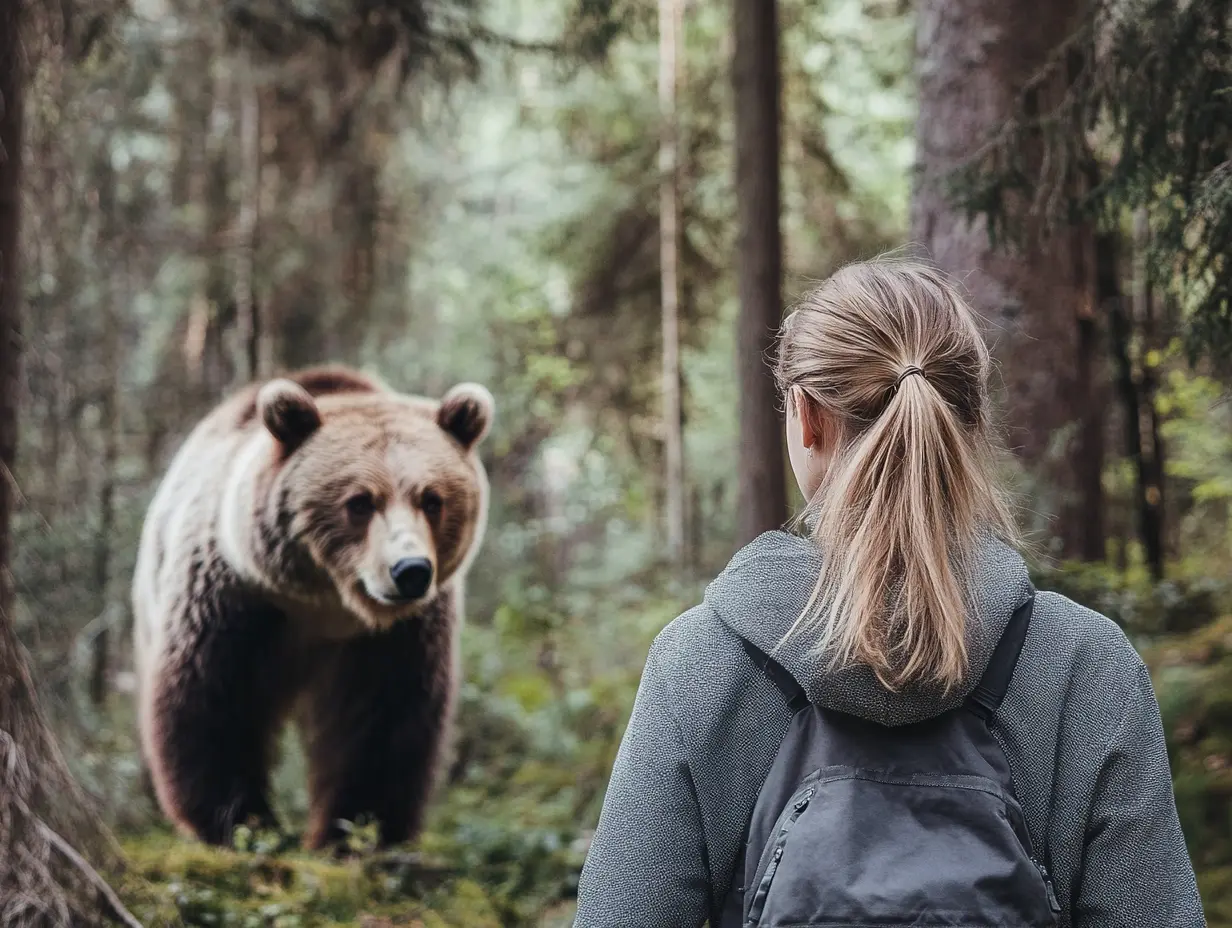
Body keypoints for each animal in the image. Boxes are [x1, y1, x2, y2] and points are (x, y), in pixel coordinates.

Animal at [131, 365, 493, 850]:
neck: (327, 602)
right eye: (360, 501)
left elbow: (384, 721)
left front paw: (358, 830)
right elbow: (211, 702)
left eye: (432, 499)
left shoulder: (398, 634)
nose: (410, 570)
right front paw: (241, 821)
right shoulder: (234, 597)